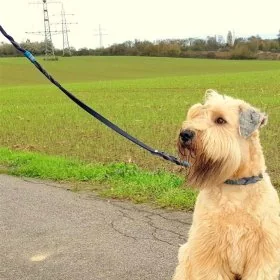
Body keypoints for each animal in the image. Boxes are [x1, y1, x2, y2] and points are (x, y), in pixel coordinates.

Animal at [173, 90, 280, 280]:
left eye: (220, 120)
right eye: (196, 114)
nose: (185, 134)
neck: (236, 186)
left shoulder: (263, 255)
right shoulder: (209, 252)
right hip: (185, 256)